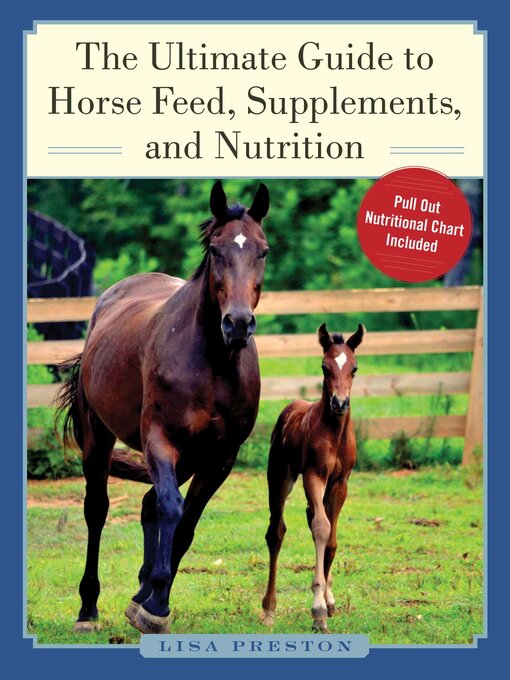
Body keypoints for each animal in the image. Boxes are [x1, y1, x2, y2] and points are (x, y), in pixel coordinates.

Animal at [55, 180, 270, 635]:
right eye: (216, 249)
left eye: (263, 250)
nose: (238, 324)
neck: (212, 363)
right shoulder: (160, 439)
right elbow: (173, 508)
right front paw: (154, 604)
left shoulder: (219, 457)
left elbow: (185, 522)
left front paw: (155, 602)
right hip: (100, 438)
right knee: (98, 509)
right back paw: (88, 609)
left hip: (187, 458)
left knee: (148, 504)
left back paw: (140, 591)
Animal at [261, 322, 364, 632]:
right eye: (324, 367)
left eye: (354, 368)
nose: (340, 403)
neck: (334, 433)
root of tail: (291, 406)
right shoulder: (314, 476)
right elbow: (321, 527)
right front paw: (318, 611)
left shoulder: (340, 483)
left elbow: (330, 540)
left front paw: (329, 601)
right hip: (279, 477)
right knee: (276, 532)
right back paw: (269, 609)